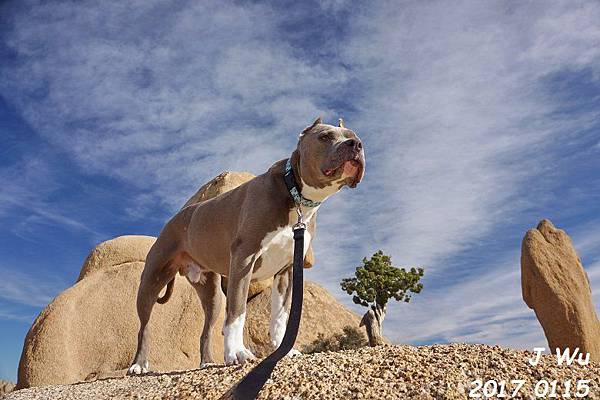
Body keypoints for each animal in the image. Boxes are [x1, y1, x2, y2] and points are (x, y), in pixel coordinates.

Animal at [128, 117, 364, 374]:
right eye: (325, 137)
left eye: (354, 137)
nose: (355, 145)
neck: (295, 193)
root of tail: (175, 218)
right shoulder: (243, 259)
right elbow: (238, 311)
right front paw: (237, 353)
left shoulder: (286, 271)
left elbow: (280, 316)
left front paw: (284, 349)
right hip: (150, 282)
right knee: (144, 328)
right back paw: (139, 364)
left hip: (211, 294)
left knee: (206, 330)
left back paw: (207, 362)